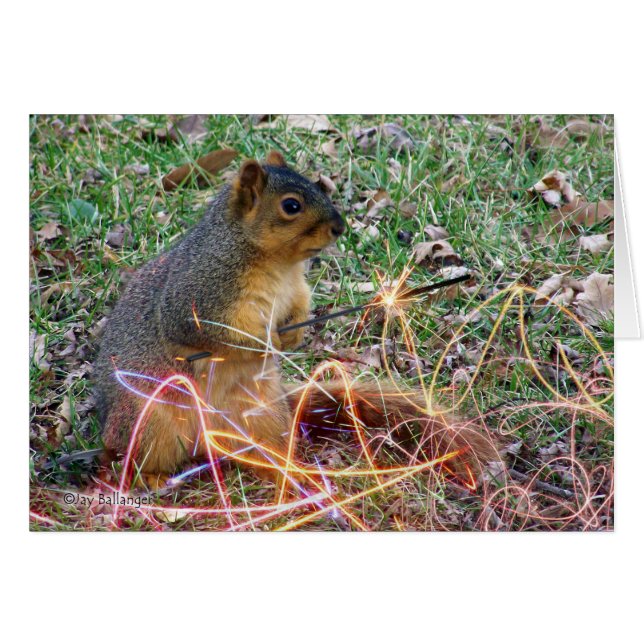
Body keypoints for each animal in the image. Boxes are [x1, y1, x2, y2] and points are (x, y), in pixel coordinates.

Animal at [95, 151, 496, 493]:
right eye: (291, 205)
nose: (339, 227)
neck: (276, 264)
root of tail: (206, 441)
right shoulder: (196, 295)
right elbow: (207, 331)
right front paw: (266, 342)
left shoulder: (296, 289)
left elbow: (302, 307)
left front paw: (296, 334)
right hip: (150, 419)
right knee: (128, 458)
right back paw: (149, 476)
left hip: (263, 415)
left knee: (259, 450)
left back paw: (287, 471)